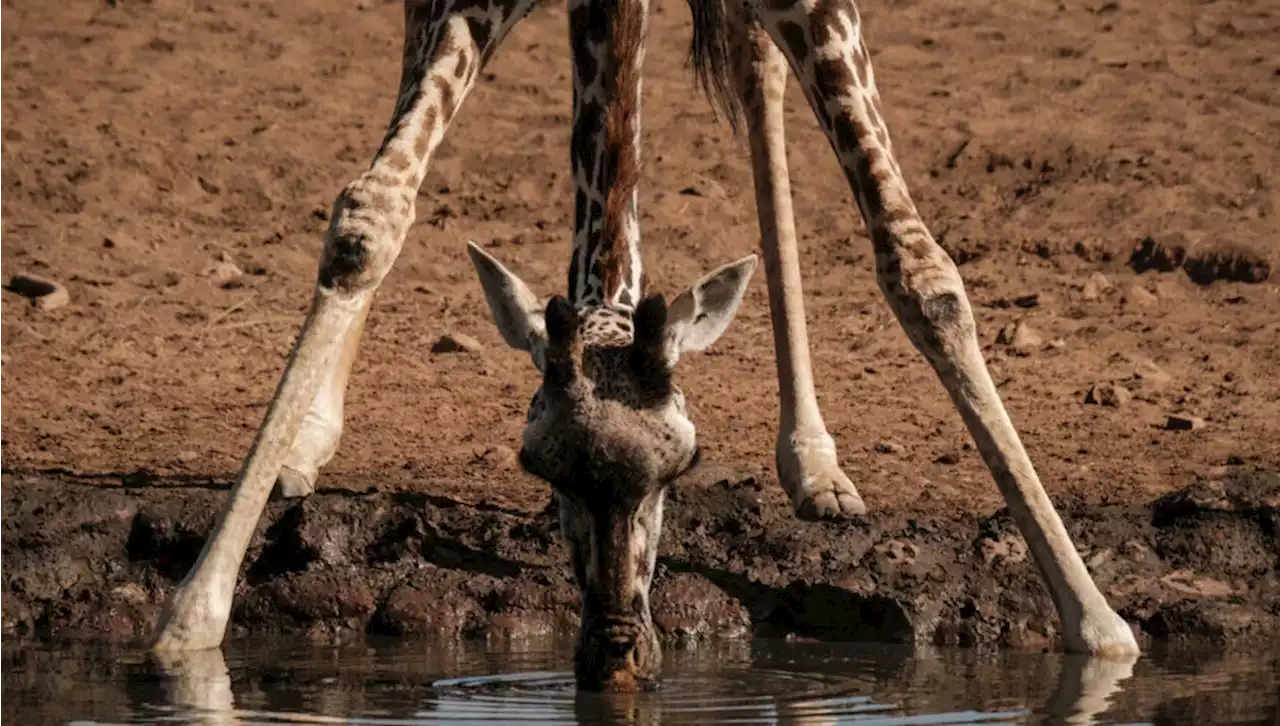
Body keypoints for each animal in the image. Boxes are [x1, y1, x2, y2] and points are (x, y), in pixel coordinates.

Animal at [149, 0, 1141, 691]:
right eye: (537, 468)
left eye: (683, 468)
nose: (616, 658)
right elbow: (370, 217)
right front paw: (191, 622)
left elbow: (921, 269)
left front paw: (1098, 628)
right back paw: (306, 439)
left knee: (757, 74)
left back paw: (813, 461)